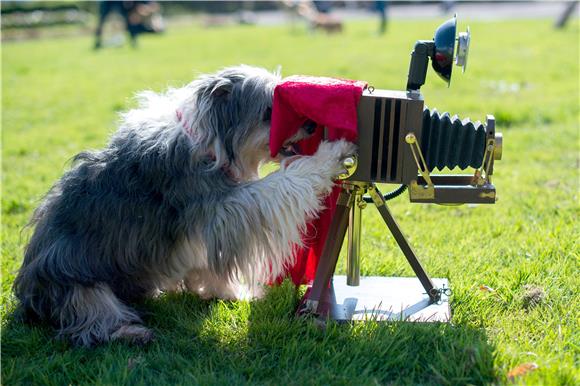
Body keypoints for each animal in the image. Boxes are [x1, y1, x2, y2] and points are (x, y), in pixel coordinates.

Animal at [13, 65, 356, 346]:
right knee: (88, 321)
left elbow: (205, 264)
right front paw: (327, 157)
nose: (311, 125)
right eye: (271, 111)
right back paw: (129, 333)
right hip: (76, 284)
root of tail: (27, 304)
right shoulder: (224, 206)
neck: (210, 144)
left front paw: (223, 291)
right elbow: (282, 184)